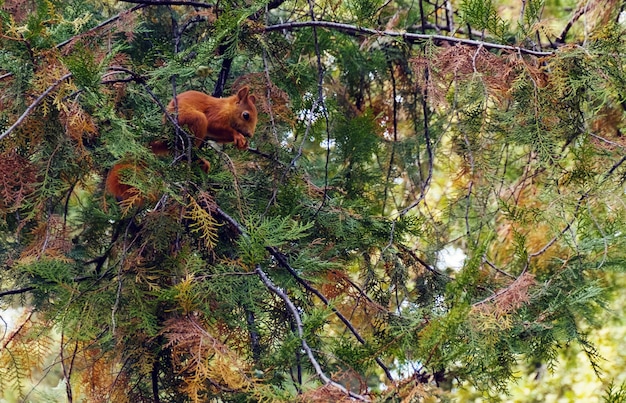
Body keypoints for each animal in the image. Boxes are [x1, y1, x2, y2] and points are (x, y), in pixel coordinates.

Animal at [106, 86, 258, 205]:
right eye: (246, 115)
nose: (250, 134)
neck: (227, 108)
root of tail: (168, 134)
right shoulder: (215, 116)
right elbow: (216, 125)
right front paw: (237, 135)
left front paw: (243, 143)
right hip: (191, 119)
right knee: (188, 145)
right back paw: (195, 159)